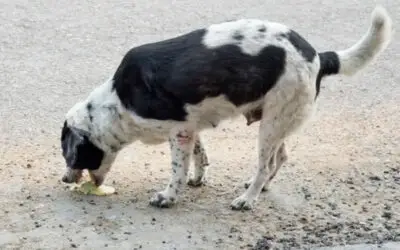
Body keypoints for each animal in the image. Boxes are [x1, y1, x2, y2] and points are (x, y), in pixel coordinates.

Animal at [61, 5, 392, 210]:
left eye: (69, 154)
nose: (64, 180)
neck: (117, 102)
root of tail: (318, 56)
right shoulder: (189, 128)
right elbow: (200, 156)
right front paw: (198, 179)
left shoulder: (178, 132)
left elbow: (177, 170)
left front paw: (169, 196)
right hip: (278, 121)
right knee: (280, 157)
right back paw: (261, 188)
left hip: (271, 125)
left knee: (265, 164)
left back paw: (248, 199)